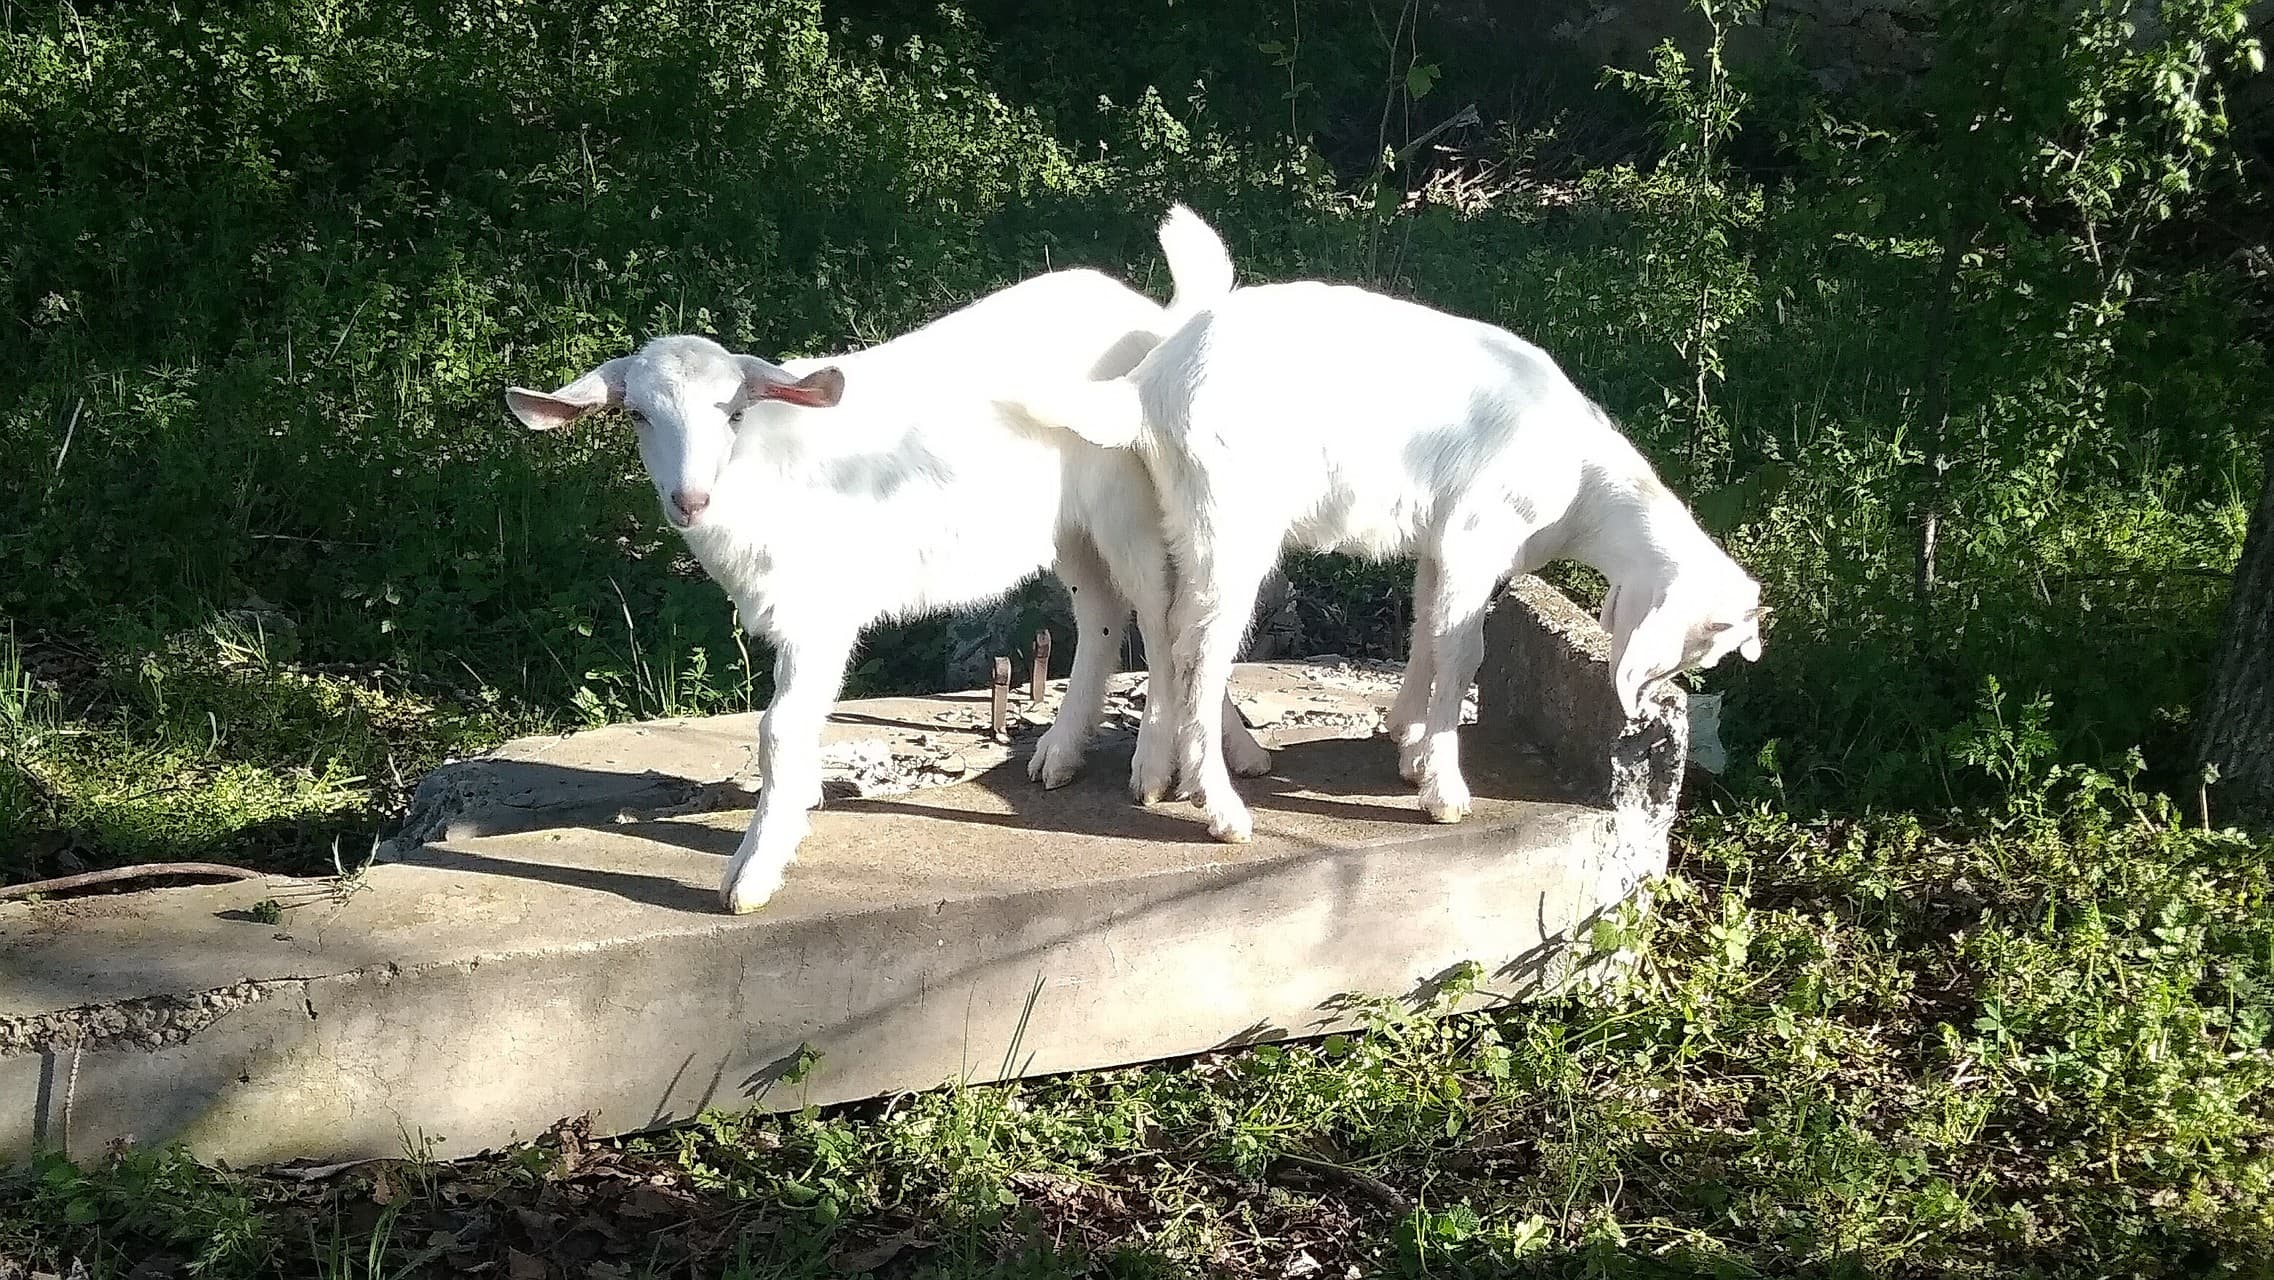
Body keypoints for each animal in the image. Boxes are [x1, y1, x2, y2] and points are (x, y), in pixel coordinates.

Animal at [504, 209, 1271, 912]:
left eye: (733, 412)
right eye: (638, 415)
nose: (689, 499)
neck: (766, 473)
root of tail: (1157, 323)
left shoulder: (818, 610)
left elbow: (778, 730)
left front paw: (752, 873)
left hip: (1130, 504)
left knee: (1163, 616)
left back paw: (1158, 767)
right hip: (1069, 525)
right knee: (1108, 615)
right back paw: (1081, 752)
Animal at [1003, 280, 1767, 842]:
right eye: (1696, 649)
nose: (1646, 705)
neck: (1583, 487)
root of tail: (1145, 386)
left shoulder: (1441, 543)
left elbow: (1427, 630)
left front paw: (1408, 739)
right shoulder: (1476, 535)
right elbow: (1463, 654)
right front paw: (1444, 788)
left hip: (1183, 520)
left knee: (1167, 627)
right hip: (1231, 519)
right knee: (1197, 652)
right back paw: (1219, 808)